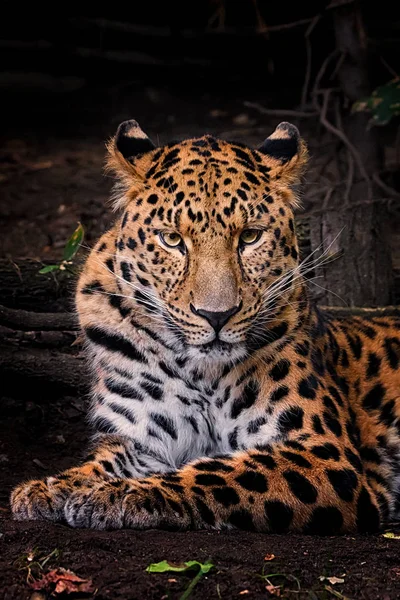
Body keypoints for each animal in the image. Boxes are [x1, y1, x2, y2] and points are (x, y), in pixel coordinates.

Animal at [8, 118, 400, 536]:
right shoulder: (141, 439)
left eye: (250, 236)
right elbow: (100, 464)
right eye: (172, 239)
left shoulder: (325, 454)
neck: (200, 370)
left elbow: (220, 472)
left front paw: (119, 494)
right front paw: (50, 487)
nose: (216, 315)